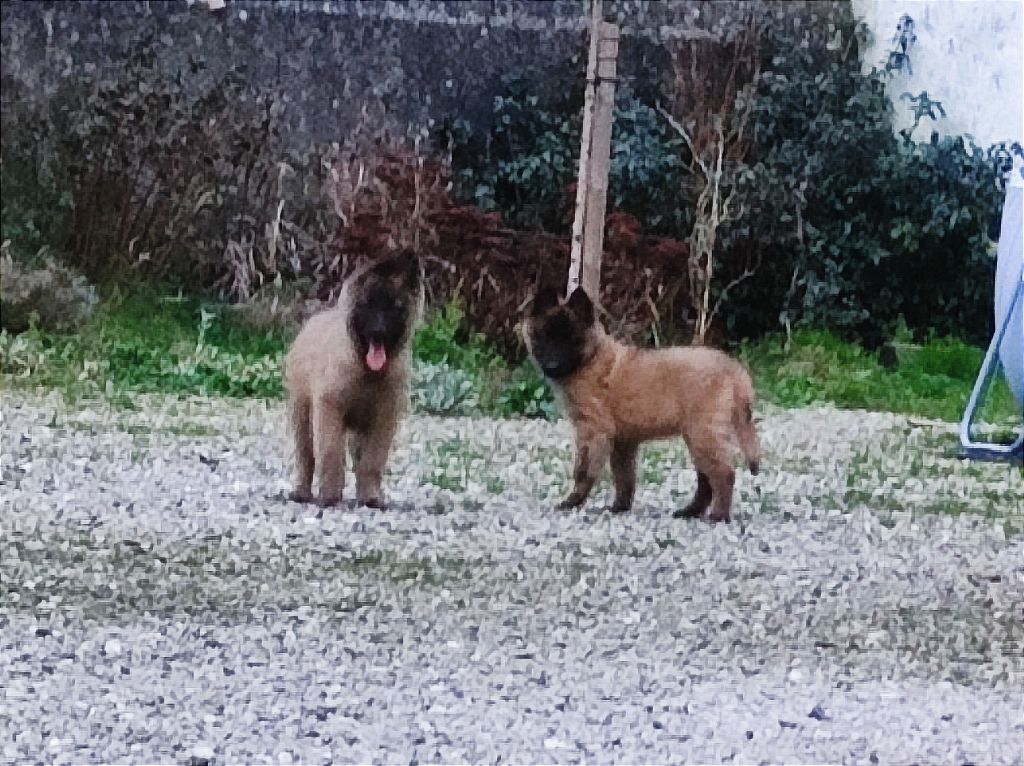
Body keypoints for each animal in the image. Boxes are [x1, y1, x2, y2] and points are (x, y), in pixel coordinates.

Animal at [282, 248, 421, 505]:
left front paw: (371, 496)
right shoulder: (329, 408)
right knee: (306, 456)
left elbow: (373, 460)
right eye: (367, 304)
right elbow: (330, 453)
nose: (378, 332)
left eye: (394, 307)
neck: (368, 372)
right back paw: (301, 492)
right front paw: (329, 495)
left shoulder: (383, 417)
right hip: (301, 413)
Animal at [528, 284, 761, 524]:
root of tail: (732, 368)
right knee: (706, 479)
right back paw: (690, 511)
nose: (551, 366)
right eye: (543, 337)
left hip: (703, 435)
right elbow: (624, 477)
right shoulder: (622, 441)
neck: (589, 360)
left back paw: (718, 515)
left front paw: (572, 501)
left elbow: (583, 471)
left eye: (571, 339)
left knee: (724, 473)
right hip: (698, 437)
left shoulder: (593, 431)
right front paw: (620, 507)